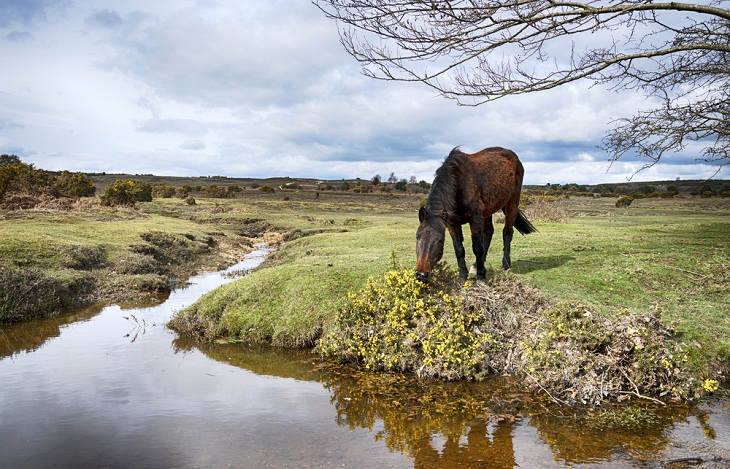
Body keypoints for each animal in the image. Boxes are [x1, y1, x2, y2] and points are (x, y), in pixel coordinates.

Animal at [416, 146, 536, 280]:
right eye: (417, 236)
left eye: (440, 240)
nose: (421, 274)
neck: (458, 183)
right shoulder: (452, 223)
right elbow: (459, 249)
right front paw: (463, 275)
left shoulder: (475, 218)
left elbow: (477, 247)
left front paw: (481, 275)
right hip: (488, 210)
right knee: (489, 232)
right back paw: (476, 265)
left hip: (512, 202)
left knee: (507, 232)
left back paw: (505, 265)